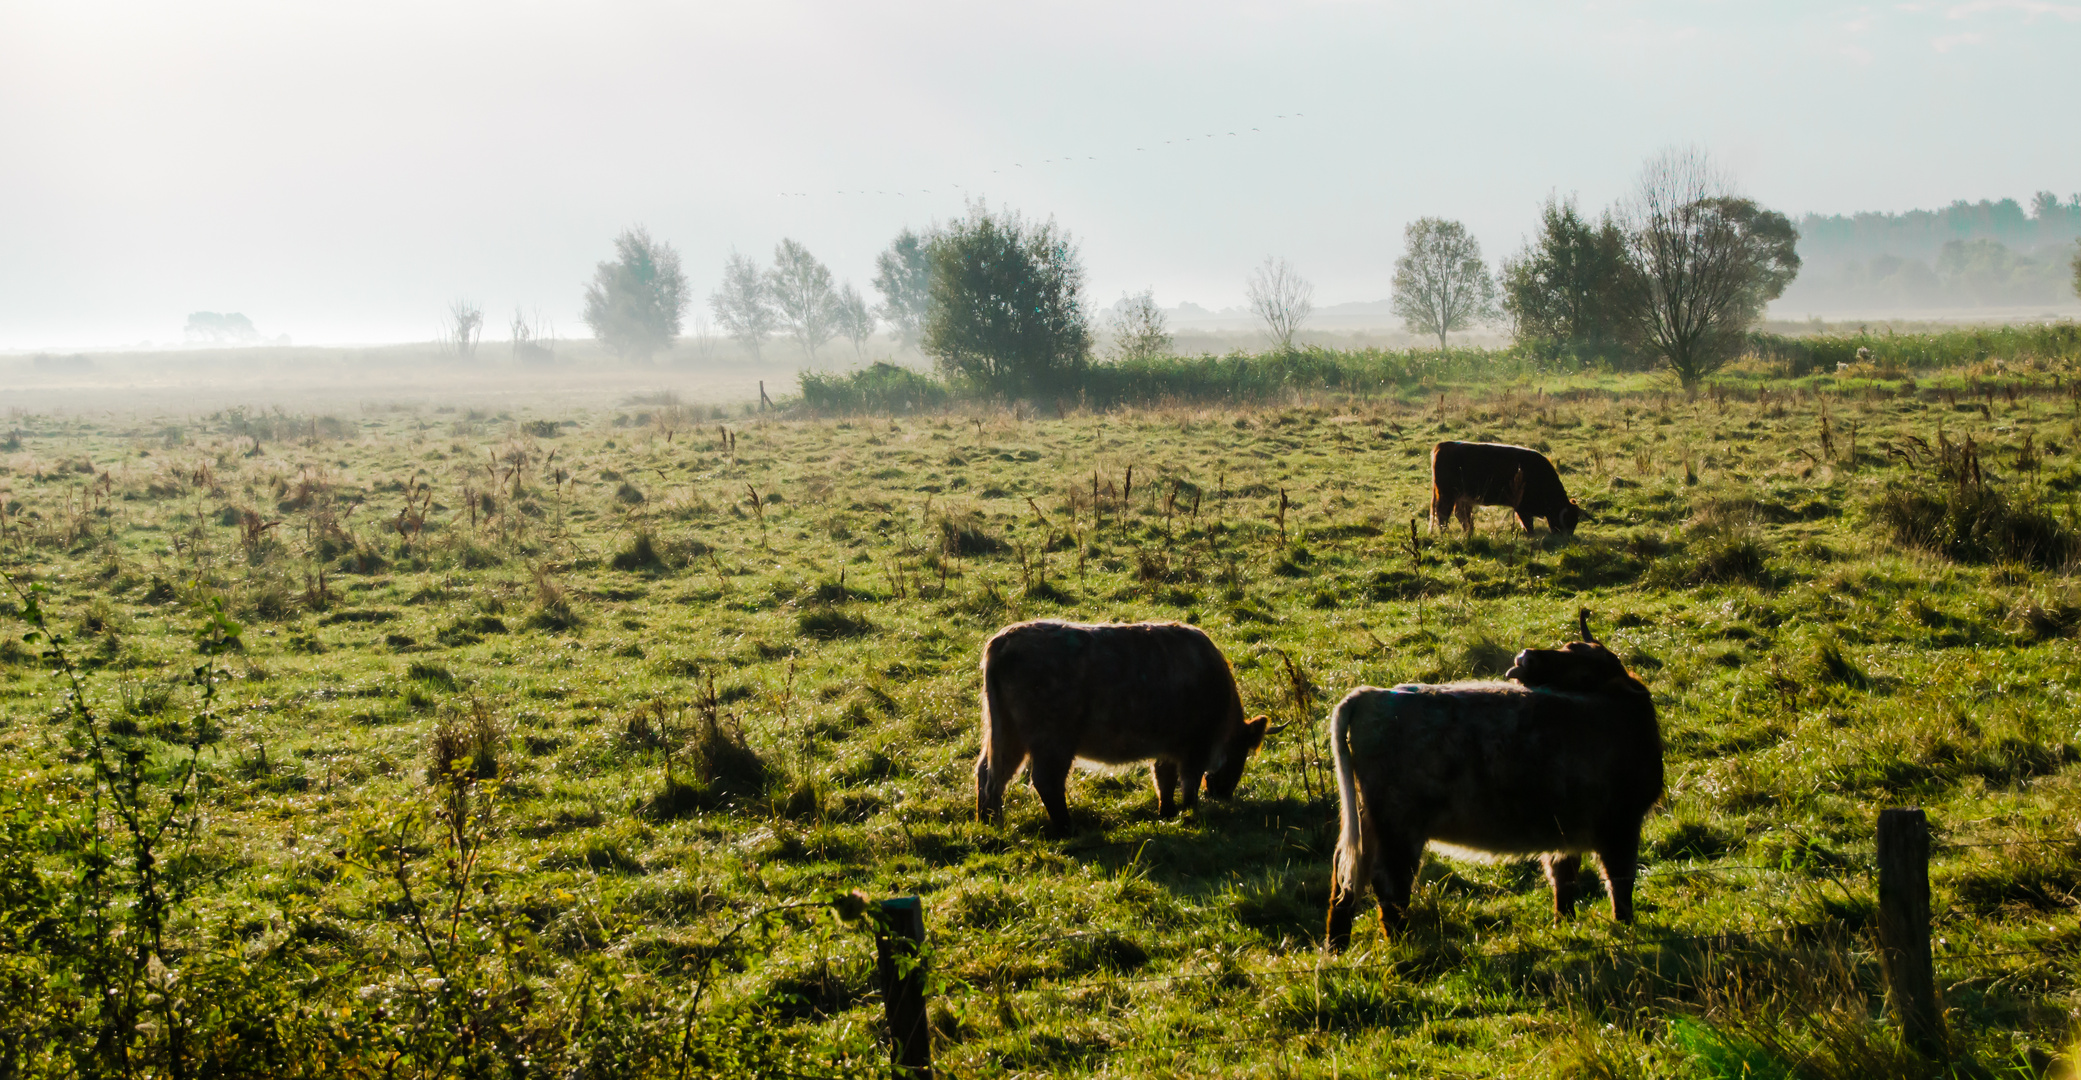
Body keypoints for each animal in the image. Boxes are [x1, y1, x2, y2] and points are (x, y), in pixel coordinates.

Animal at [973, 615, 1265, 836]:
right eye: (1242, 755)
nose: (1223, 794)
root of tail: (1004, 639)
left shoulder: (1168, 747)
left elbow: (1164, 779)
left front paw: (1167, 813)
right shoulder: (1195, 746)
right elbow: (1188, 783)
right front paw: (1190, 813)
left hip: (1008, 733)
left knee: (988, 772)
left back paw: (988, 822)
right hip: (1052, 740)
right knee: (1045, 781)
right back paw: (1068, 828)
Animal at [1331, 620, 1656, 953]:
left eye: (1584, 673)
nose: (1525, 657)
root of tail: (1372, 694)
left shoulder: (1566, 833)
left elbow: (1565, 881)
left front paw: (1564, 926)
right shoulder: (1621, 825)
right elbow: (1620, 881)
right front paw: (1625, 927)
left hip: (1368, 821)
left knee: (1346, 876)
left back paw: (1337, 947)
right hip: (1399, 828)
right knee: (1389, 883)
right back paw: (1402, 944)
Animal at [1431, 441, 1589, 536]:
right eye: (1567, 520)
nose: (1566, 538)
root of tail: (1443, 445)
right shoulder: (1522, 507)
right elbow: (1528, 524)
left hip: (1461, 497)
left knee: (1460, 514)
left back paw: (1468, 532)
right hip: (1447, 495)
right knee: (1443, 514)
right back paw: (1444, 532)